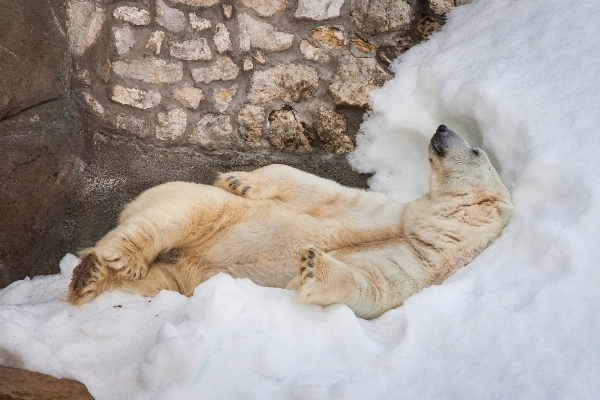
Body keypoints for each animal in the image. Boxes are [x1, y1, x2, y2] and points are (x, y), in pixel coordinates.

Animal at [69, 125, 510, 318]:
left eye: (475, 151)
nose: (441, 127)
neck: (426, 232)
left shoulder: (419, 269)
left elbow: (369, 290)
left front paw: (313, 266)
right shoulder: (390, 213)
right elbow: (319, 191)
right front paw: (241, 180)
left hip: (186, 277)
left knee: (159, 281)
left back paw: (92, 277)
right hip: (200, 209)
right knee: (183, 213)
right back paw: (116, 258)